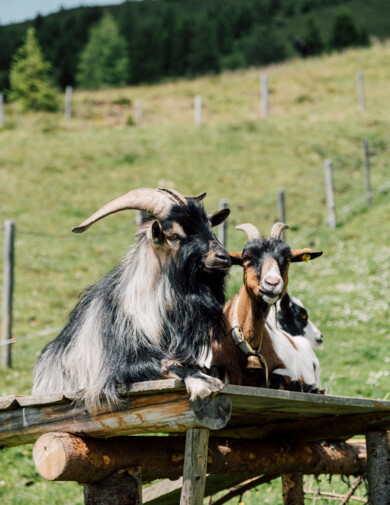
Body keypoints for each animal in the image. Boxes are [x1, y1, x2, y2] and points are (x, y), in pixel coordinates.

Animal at [32, 187, 232, 408]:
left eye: (210, 227)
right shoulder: (115, 369)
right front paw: (203, 382)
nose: (224, 257)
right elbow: (166, 363)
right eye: (174, 235)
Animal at [210, 220, 322, 390]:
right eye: (246, 257)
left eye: (288, 257)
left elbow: (276, 378)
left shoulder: (283, 369)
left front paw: (297, 385)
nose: (272, 283)